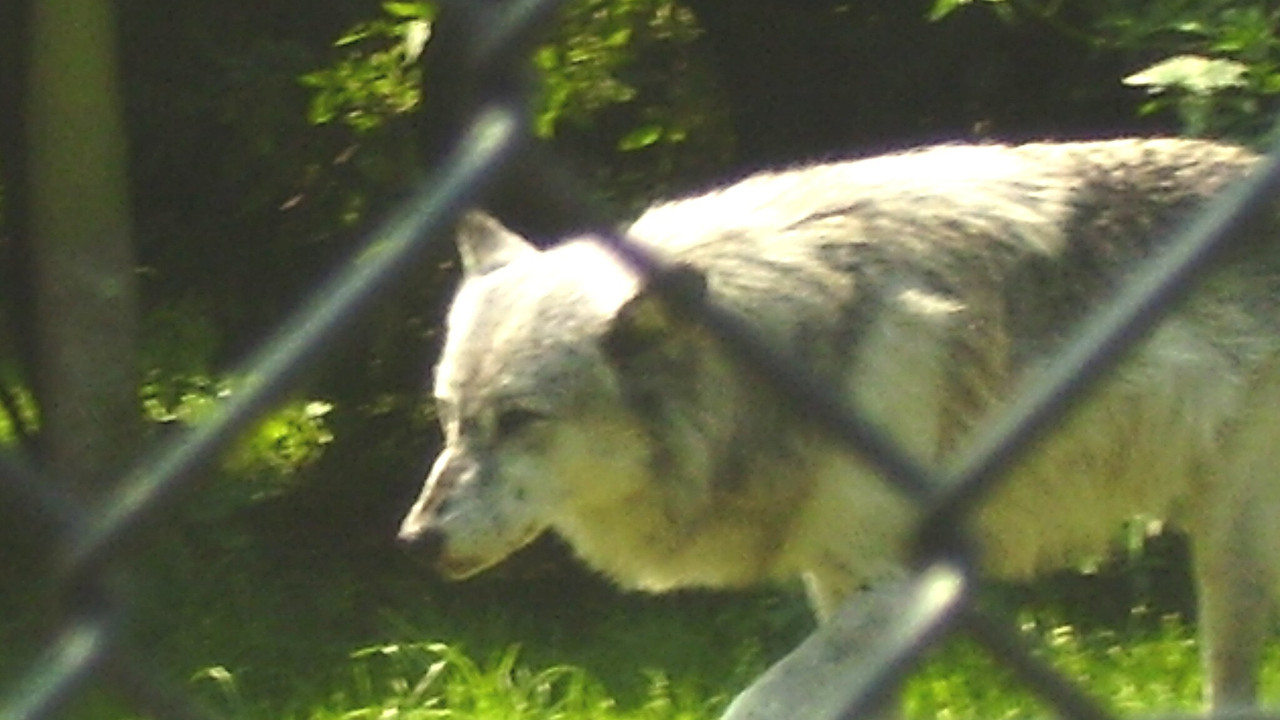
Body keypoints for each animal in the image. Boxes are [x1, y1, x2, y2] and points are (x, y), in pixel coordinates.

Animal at [399, 137, 1280, 707]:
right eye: (450, 417)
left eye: (520, 420)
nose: (415, 542)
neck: (769, 365)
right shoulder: (839, 583)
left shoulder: (904, 585)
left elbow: (752, 703)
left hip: (1231, 552)